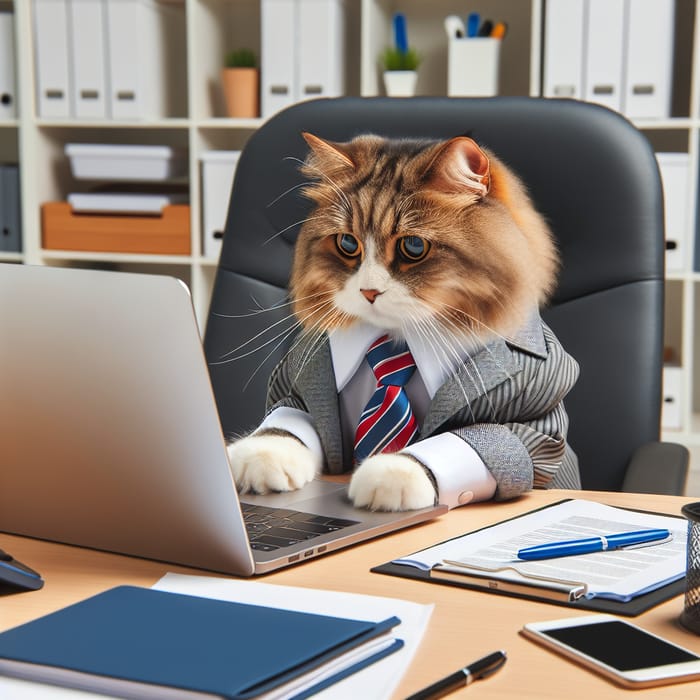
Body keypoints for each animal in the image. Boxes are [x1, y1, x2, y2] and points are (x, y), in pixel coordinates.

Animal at [226, 133, 580, 508]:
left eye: (413, 247)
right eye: (347, 243)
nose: (368, 291)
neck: (396, 338)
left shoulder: (536, 423)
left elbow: (464, 440)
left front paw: (390, 476)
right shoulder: (294, 388)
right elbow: (284, 424)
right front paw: (258, 459)